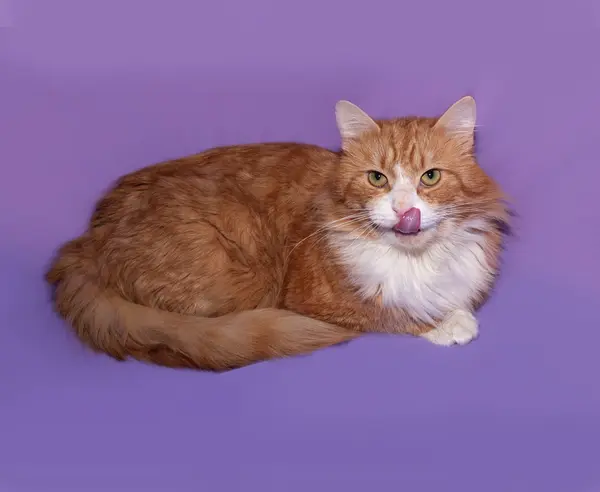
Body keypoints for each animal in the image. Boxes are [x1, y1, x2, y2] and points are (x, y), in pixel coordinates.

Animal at [44, 96, 508, 370]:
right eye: (377, 179)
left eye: (430, 177)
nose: (404, 209)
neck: (416, 261)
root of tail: (85, 242)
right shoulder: (313, 300)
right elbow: (389, 313)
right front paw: (446, 324)